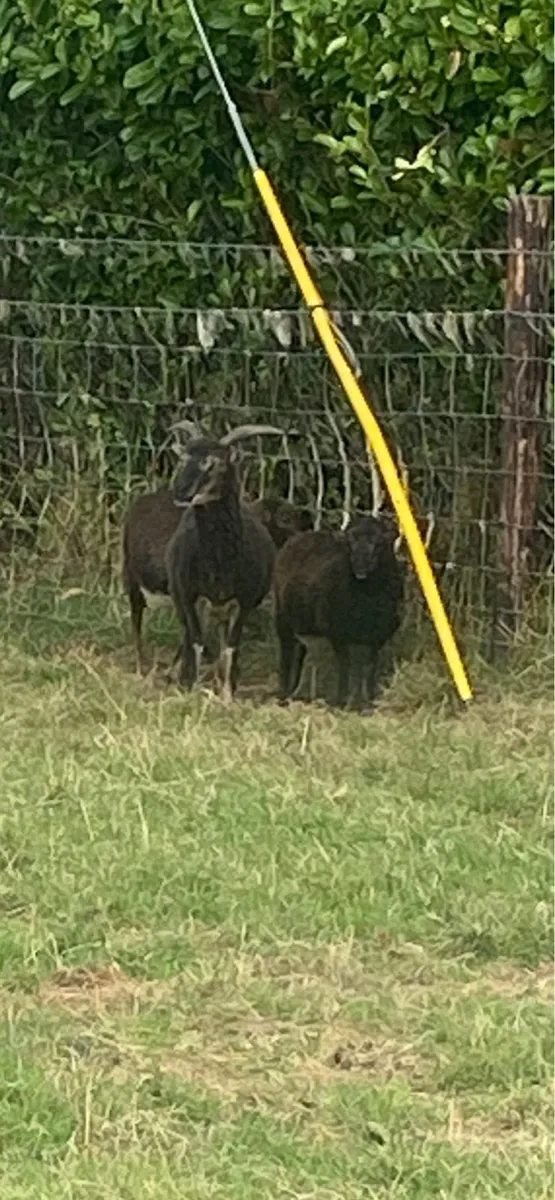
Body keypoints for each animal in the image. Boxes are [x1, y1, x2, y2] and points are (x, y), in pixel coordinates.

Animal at [166, 422, 284, 701]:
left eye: (215, 462)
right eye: (184, 457)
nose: (181, 491)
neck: (219, 565)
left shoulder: (244, 601)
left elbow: (230, 647)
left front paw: (227, 695)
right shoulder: (190, 596)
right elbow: (197, 641)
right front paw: (194, 688)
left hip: (222, 611)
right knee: (189, 636)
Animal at [273, 514, 405, 709]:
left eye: (378, 542)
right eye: (350, 542)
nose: (360, 568)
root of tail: (303, 535)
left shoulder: (377, 636)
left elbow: (370, 666)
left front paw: (369, 702)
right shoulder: (337, 632)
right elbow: (345, 664)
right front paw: (341, 701)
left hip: (304, 623)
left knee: (301, 651)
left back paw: (294, 691)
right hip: (283, 617)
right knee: (286, 652)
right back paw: (283, 695)